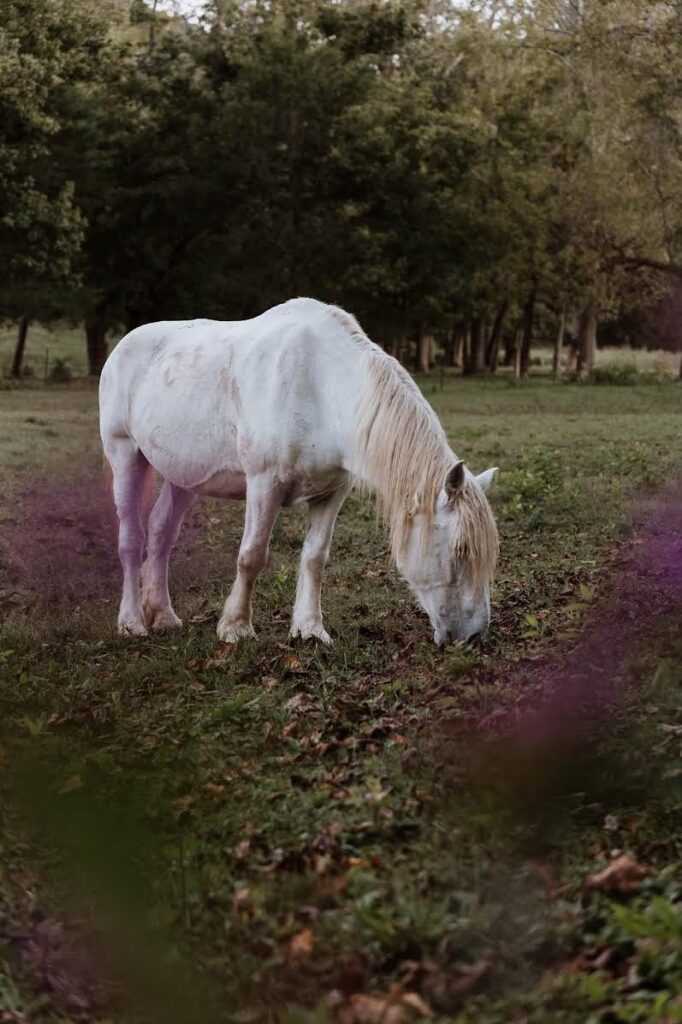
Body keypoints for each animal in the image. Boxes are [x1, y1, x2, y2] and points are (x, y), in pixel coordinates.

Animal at [99, 298, 499, 646]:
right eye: (461, 550)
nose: (473, 637)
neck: (320, 386)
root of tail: (123, 346)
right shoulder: (264, 484)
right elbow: (252, 555)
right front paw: (235, 628)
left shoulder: (331, 493)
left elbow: (315, 558)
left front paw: (309, 630)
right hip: (124, 455)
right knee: (131, 539)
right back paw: (132, 622)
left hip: (183, 476)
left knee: (161, 533)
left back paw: (164, 616)